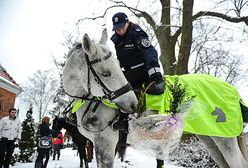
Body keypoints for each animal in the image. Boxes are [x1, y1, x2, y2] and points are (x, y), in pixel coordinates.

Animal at [62, 29, 248, 167]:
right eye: (106, 73)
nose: (133, 105)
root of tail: (231, 90)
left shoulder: (106, 145)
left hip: (224, 139)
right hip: (210, 139)